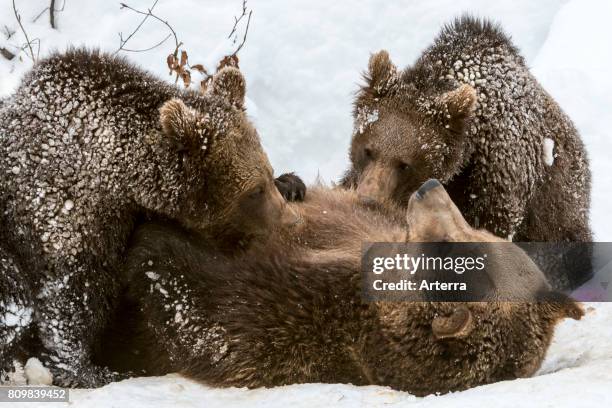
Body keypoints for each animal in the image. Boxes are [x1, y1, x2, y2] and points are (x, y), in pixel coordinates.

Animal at [0, 49, 302, 388]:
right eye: (254, 191)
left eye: (268, 172)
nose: (292, 222)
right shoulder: (62, 210)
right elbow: (69, 296)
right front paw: (90, 371)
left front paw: (293, 183)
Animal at [97, 179, 584, 396]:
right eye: (480, 231)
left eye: (452, 241)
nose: (429, 187)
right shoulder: (353, 225)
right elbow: (336, 205)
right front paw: (289, 184)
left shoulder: (298, 320)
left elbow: (205, 317)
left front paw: (150, 240)